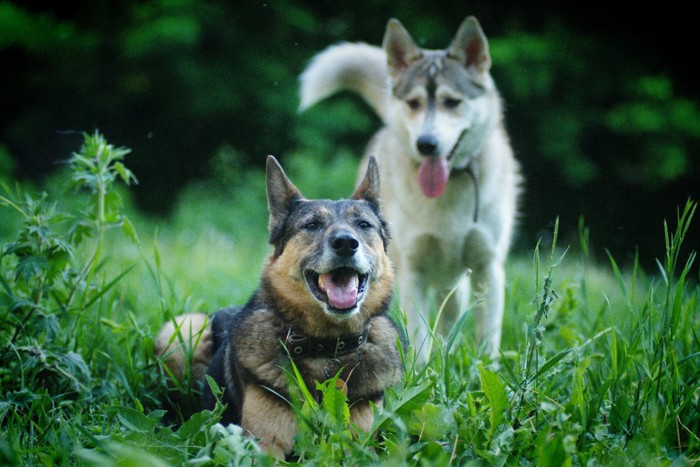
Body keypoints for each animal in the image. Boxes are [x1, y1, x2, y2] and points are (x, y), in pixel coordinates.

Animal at [155, 155, 402, 458]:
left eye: (364, 225)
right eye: (312, 225)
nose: (346, 243)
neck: (325, 347)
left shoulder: (359, 446)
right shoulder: (264, 446)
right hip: (182, 329)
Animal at [298, 17, 524, 362]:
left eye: (452, 102)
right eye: (414, 103)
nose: (426, 144)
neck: (446, 195)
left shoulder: (488, 268)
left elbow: (487, 338)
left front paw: (487, 369)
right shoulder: (412, 272)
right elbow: (418, 337)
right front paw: (421, 371)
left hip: (454, 284)